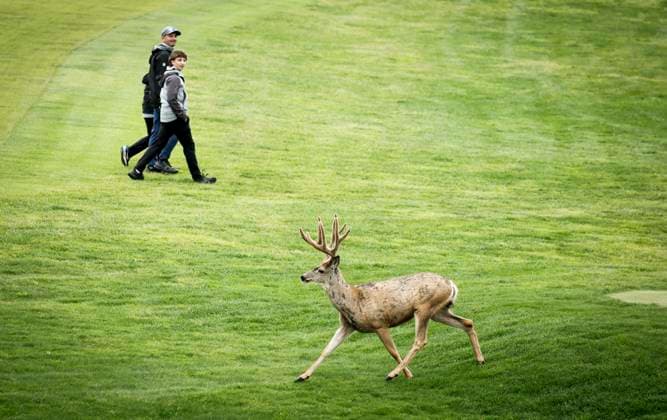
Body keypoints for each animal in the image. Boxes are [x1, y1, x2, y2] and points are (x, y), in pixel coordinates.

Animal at [296, 215, 485, 381]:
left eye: (320, 270)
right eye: (315, 266)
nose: (303, 276)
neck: (353, 301)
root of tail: (451, 284)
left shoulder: (380, 323)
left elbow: (393, 351)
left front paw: (407, 374)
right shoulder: (347, 325)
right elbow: (326, 350)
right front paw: (303, 376)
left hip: (424, 307)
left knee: (420, 340)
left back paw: (392, 374)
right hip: (439, 311)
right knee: (467, 322)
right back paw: (480, 359)